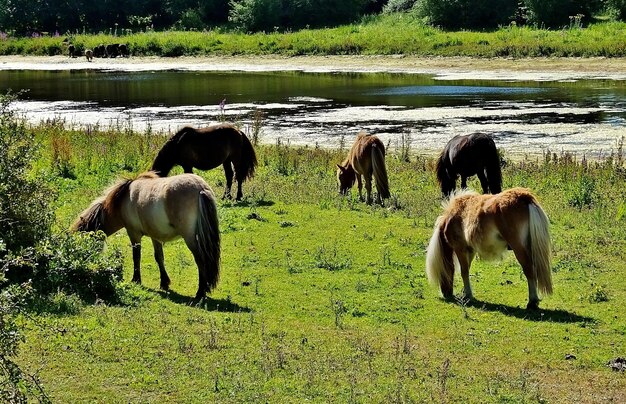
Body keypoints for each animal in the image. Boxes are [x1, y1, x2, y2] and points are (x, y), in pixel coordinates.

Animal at [71, 171, 221, 300]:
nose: (84, 262)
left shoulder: (134, 233)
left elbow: (136, 256)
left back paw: (200, 292)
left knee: (200, 260)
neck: (123, 199)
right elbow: (159, 257)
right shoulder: (155, 235)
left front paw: (136, 279)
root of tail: (200, 188)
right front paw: (164, 283)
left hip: (190, 238)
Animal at [424, 187, 552, 310]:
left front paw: (467, 295)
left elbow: (464, 271)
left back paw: (532, 302)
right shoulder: (470, 250)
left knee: (529, 270)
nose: (446, 293)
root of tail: (524, 197)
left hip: (519, 248)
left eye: (441, 272)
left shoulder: (460, 249)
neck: (454, 215)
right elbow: (466, 270)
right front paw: (466, 293)